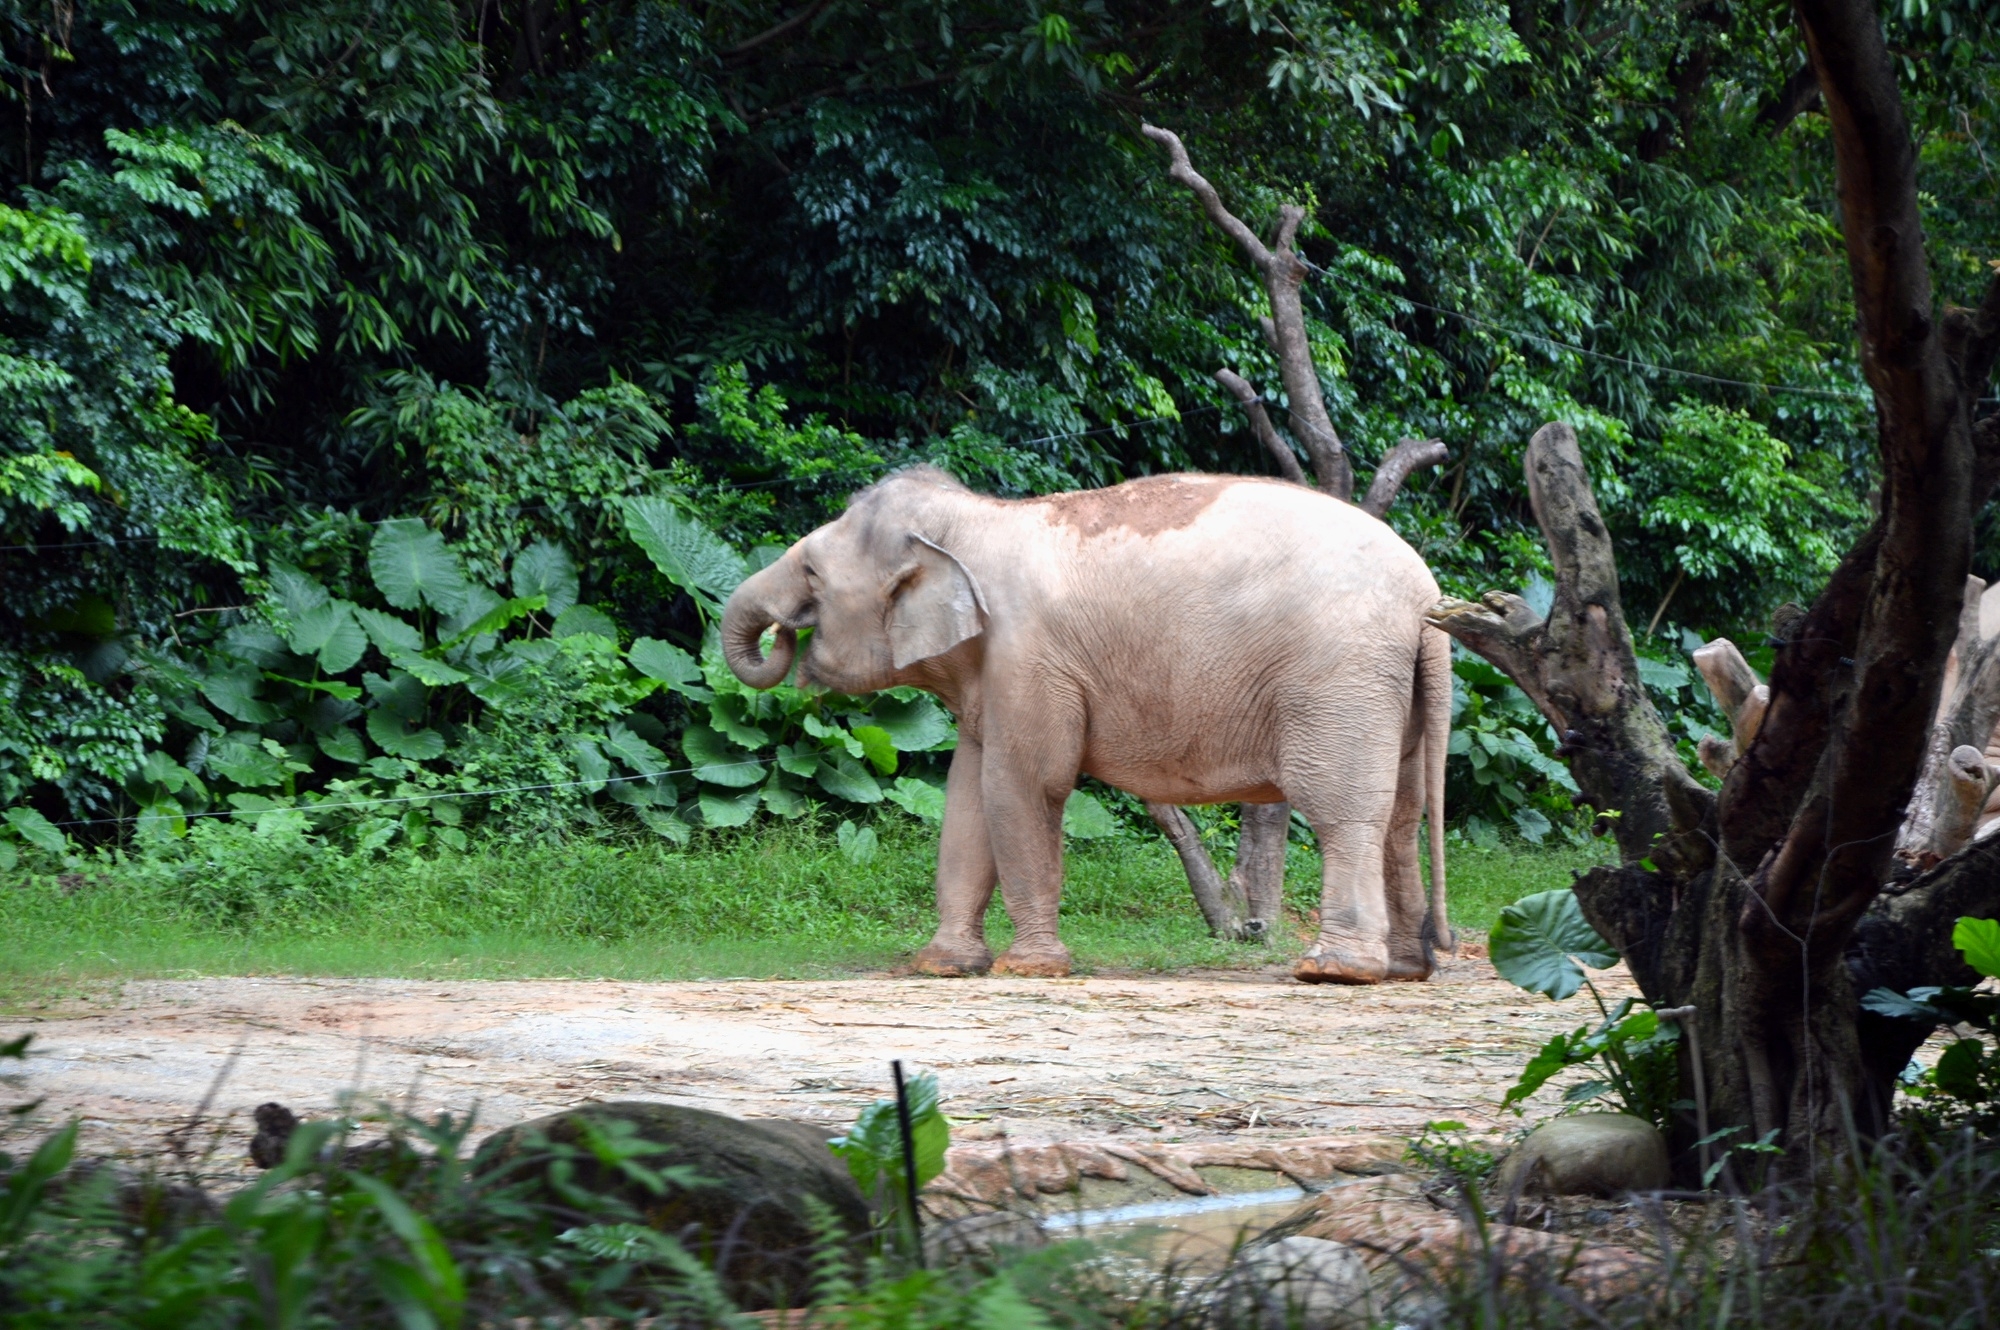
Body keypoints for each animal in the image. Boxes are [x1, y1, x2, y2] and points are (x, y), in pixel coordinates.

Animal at [720, 462, 1456, 980]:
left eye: (812, 573)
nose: (783, 636)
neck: (978, 519)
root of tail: (1428, 597)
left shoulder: (1028, 658)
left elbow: (1023, 788)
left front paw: (1030, 968)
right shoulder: (994, 677)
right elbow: (965, 798)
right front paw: (944, 965)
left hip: (1339, 678)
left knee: (1343, 810)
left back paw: (1334, 971)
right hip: (1388, 687)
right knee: (1402, 813)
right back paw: (1403, 970)